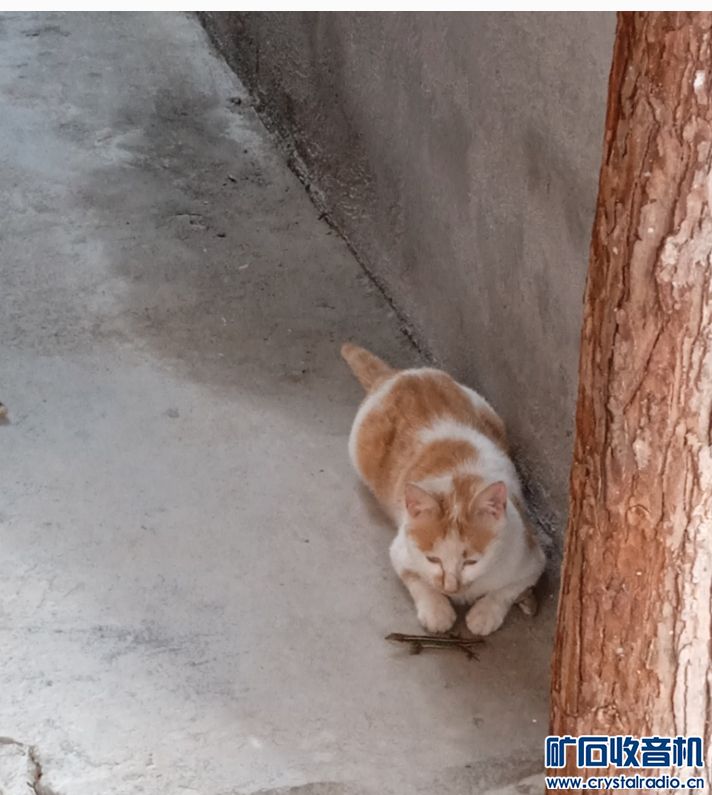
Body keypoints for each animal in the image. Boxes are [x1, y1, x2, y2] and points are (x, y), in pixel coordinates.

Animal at [342, 343, 545, 636]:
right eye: (433, 559)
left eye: (471, 562)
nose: (451, 587)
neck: (460, 482)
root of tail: (397, 375)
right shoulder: (401, 553)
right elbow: (417, 581)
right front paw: (437, 610)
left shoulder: (530, 559)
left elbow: (505, 591)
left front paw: (485, 614)